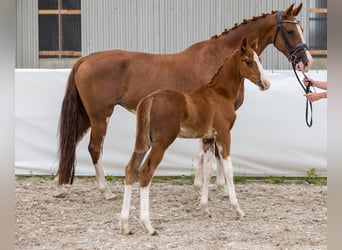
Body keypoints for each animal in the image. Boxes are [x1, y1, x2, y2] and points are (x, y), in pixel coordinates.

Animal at [119, 37, 270, 234]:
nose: (265, 83)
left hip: (144, 142)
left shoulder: (208, 139)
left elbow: (207, 170)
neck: (220, 93)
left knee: (131, 169)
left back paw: (125, 224)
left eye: (259, 59)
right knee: (146, 171)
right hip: (161, 143)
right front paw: (238, 209)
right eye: (248, 61)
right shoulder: (224, 134)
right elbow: (228, 169)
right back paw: (148, 225)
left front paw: (205, 208)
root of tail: (150, 98)